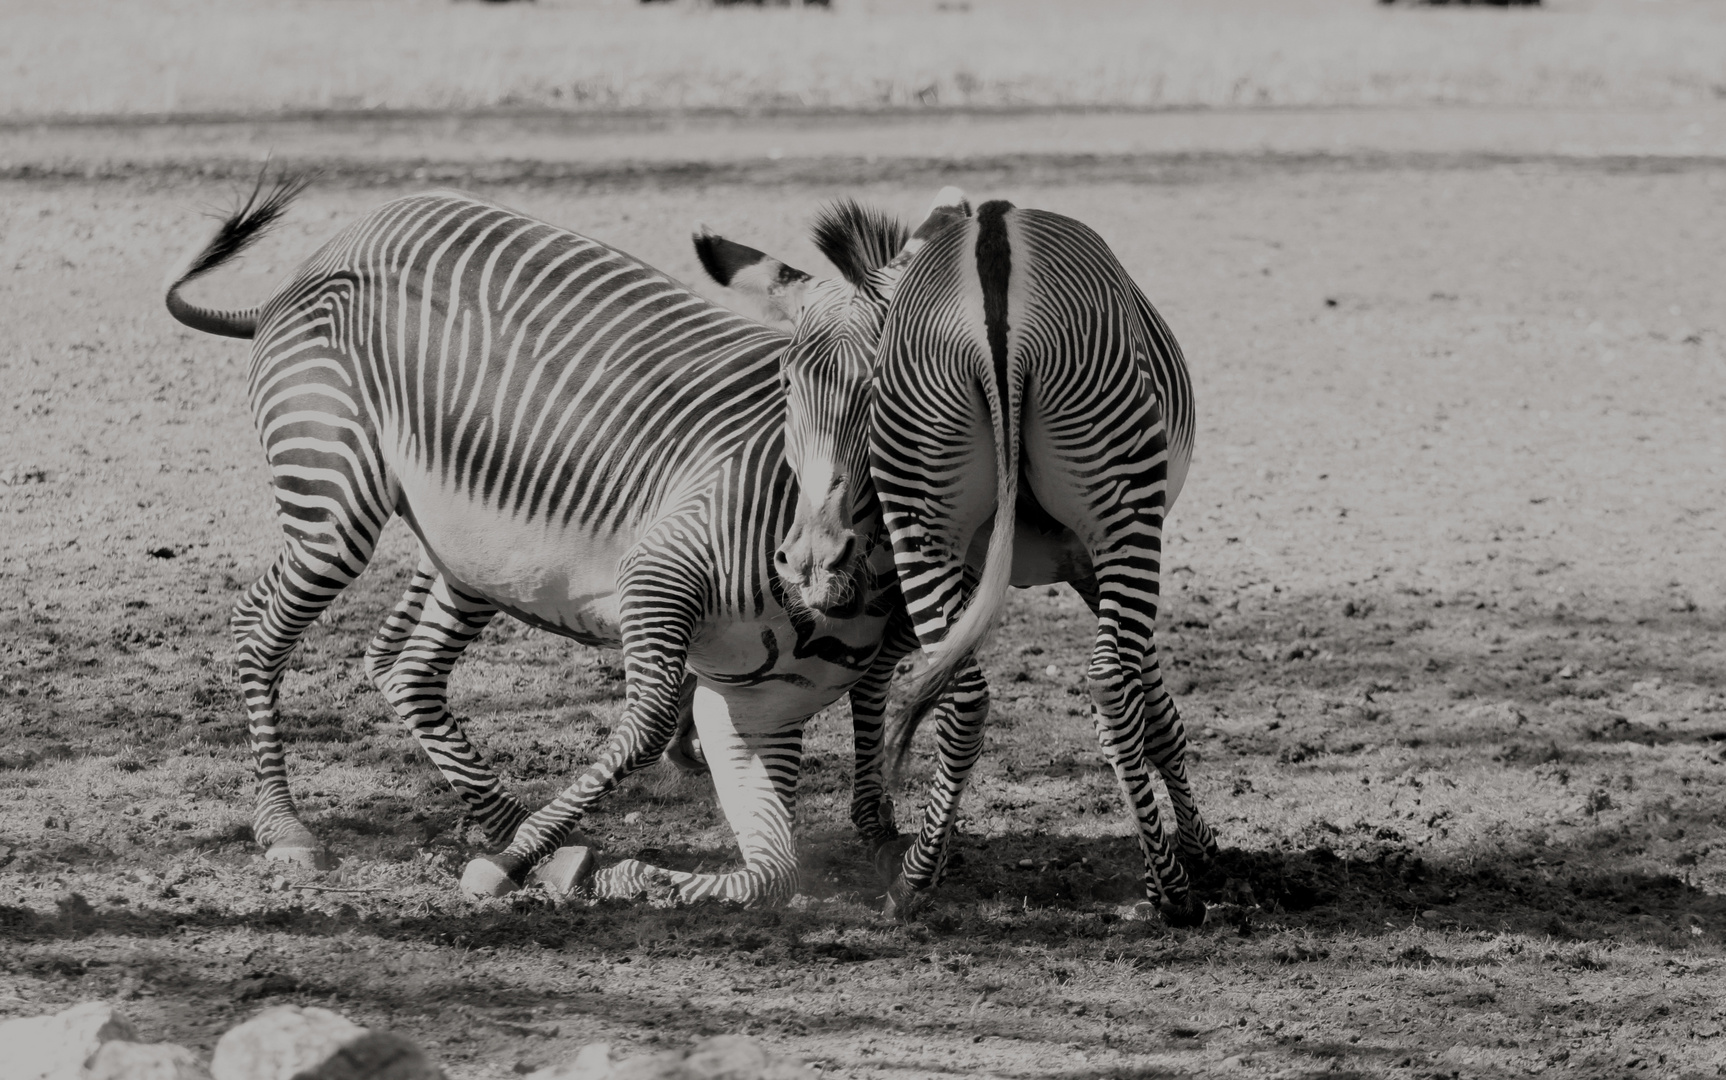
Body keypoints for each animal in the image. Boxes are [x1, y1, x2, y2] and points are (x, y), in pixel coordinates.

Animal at [690, 188, 1215, 917]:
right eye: (788, 387)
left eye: (870, 389)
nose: (812, 562)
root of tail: (993, 256)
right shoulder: (1081, 561)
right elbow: (1160, 709)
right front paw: (1199, 847)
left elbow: (886, 675)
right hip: (1123, 510)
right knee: (1109, 682)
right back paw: (1169, 890)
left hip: (925, 512)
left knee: (966, 690)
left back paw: (916, 878)